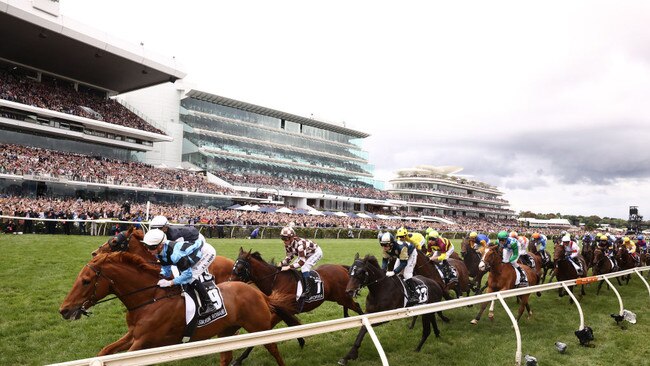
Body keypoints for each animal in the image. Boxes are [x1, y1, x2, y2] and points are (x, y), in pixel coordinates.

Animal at [59, 252, 298, 366]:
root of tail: (259, 293)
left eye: (86, 281)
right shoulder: (133, 335)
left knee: (273, 349)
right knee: (225, 357)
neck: (150, 300)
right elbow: (105, 352)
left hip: (259, 328)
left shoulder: (143, 342)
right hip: (226, 332)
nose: (64, 310)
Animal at [228, 247, 362, 316]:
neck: (275, 280)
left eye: (240, 268)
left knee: (357, 306)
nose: (229, 283)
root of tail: (342, 268)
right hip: (340, 298)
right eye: (233, 266)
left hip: (343, 297)